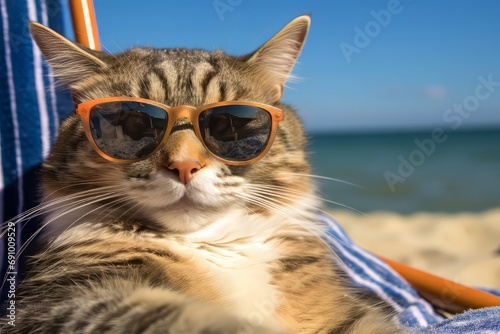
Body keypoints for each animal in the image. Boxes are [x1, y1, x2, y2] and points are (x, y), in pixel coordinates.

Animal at [3, 15, 404, 334]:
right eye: (134, 124)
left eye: (227, 125)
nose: (184, 165)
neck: (211, 245)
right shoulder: (64, 301)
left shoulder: (345, 310)